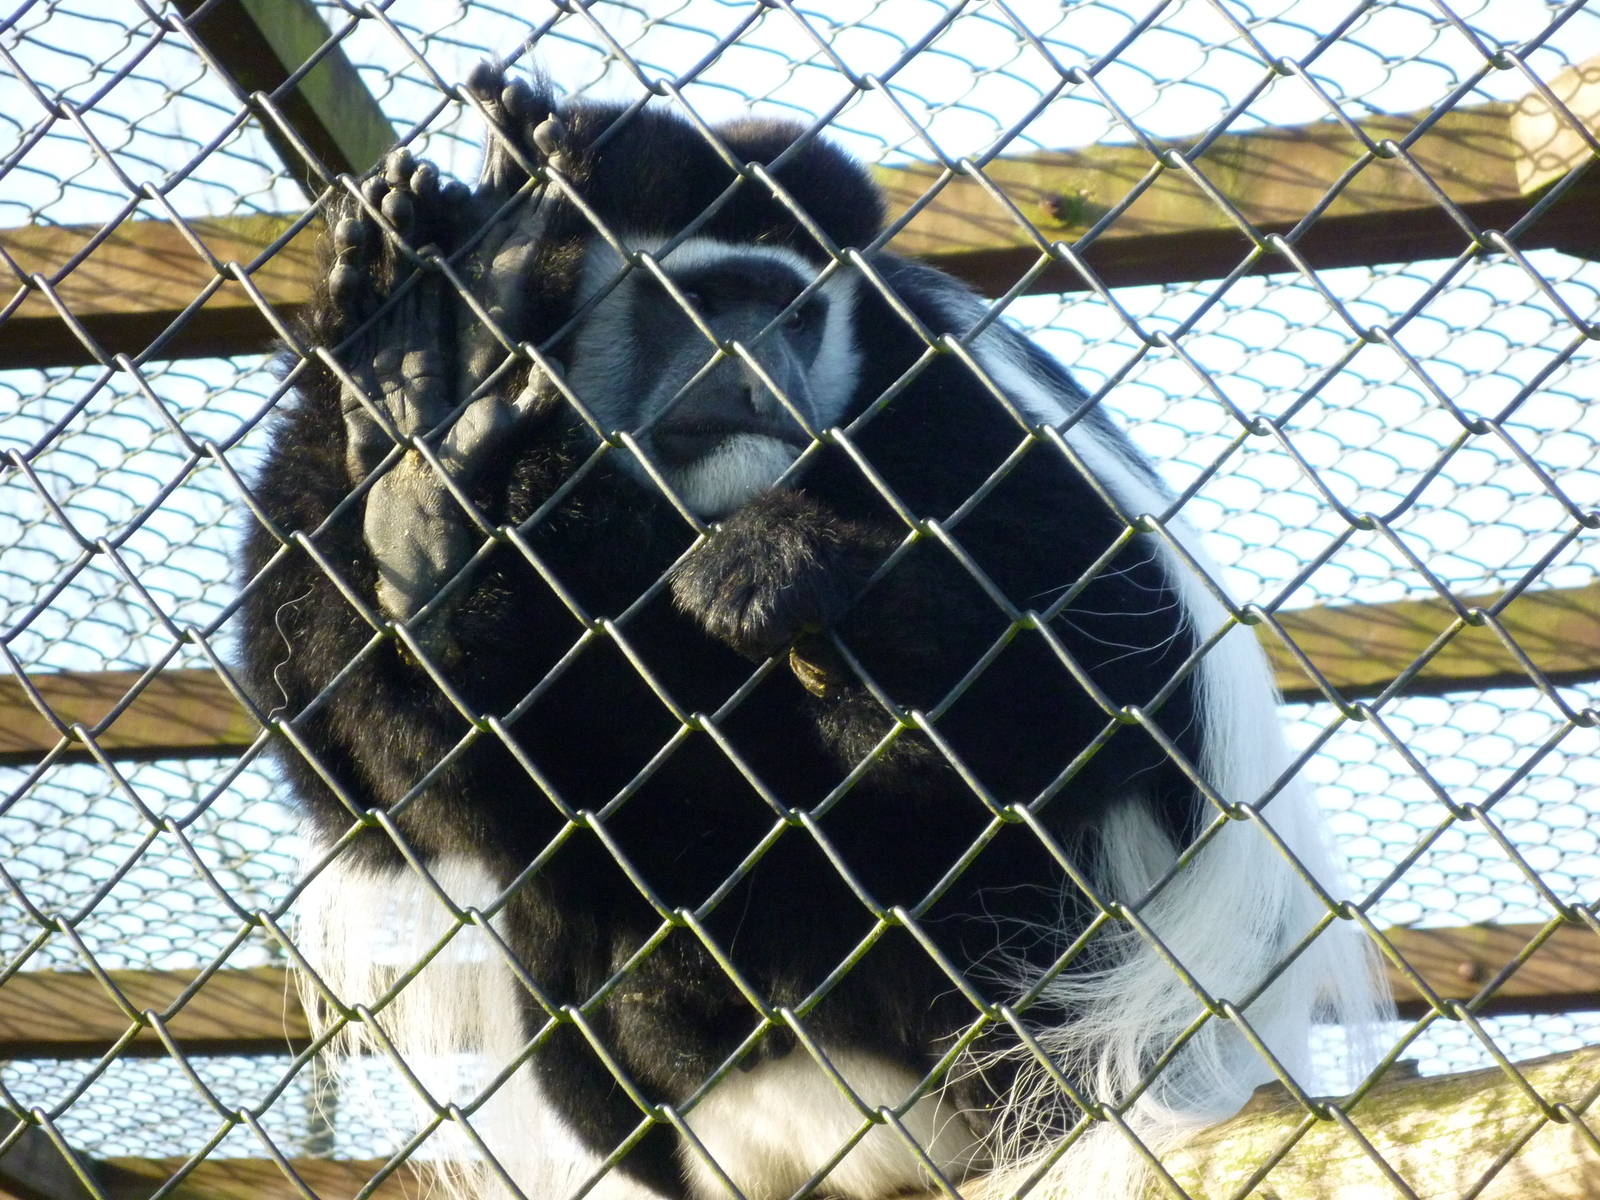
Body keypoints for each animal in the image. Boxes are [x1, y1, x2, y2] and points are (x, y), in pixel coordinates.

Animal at [237, 63, 1384, 1200]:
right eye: (699, 304)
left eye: (790, 312)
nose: (756, 379)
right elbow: (363, 792)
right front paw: (415, 362)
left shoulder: (946, 400)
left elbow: (1114, 674)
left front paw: (789, 565)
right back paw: (430, 517)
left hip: (1036, 995)